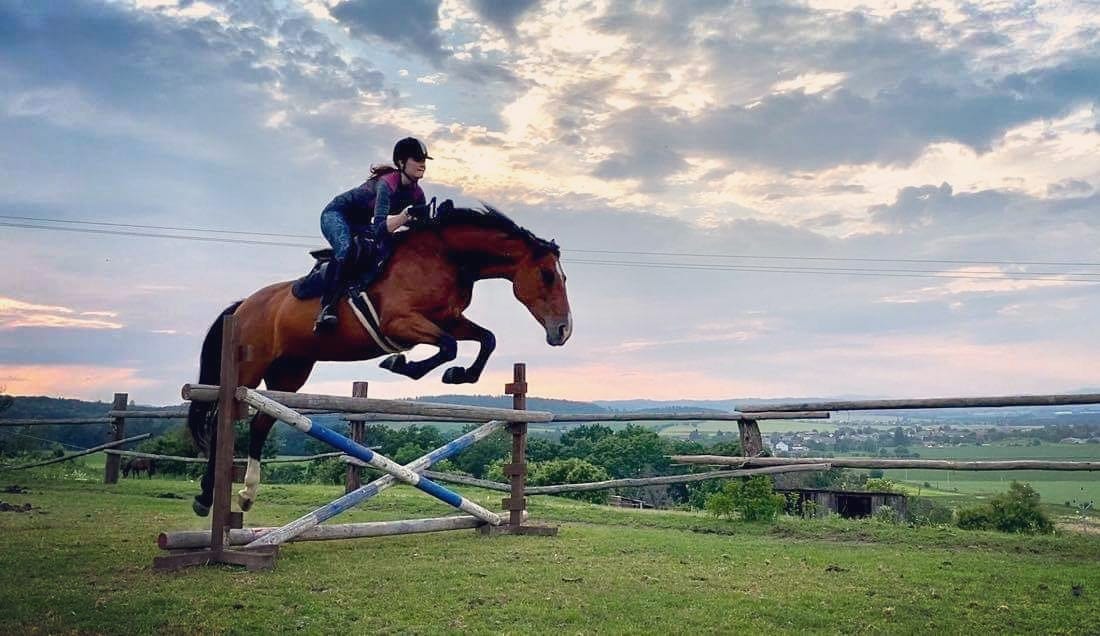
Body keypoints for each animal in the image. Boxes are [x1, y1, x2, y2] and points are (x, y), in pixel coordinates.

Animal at [187, 205, 576, 512]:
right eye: (546, 275)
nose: (562, 331)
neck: (446, 256)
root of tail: (243, 305)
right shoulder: (400, 323)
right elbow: (448, 346)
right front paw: (402, 364)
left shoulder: (449, 318)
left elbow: (486, 339)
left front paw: (458, 375)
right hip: (250, 367)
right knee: (223, 418)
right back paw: (205, 498)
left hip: (291, 370)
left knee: (260, 424)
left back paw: (247, 494)